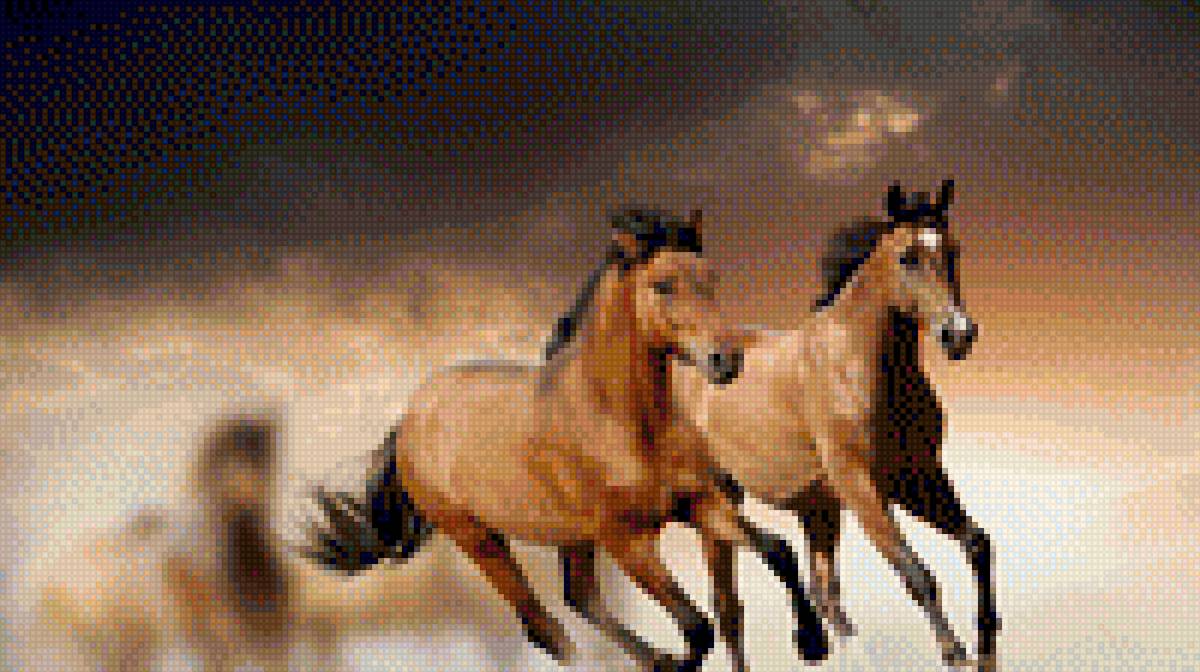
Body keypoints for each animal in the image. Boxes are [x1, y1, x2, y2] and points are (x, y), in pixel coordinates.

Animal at [305, 209, 829, 672]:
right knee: (545, 628)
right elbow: (696, 627)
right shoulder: (627, 541)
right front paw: (679, 661)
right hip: (478, 538)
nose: (726, 360)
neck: (621, 420)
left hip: (569, 534)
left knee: (579, 596)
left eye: (711, 278)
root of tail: (409, 420)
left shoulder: (698, 503)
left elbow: (778, 551)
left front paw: (812, 641)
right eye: (663, 285)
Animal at [675, 181, 999, 670]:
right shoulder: (861, 485)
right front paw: (955, 652)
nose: (959, 334)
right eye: (908, 257)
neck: (857, 367)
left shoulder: (916, 477)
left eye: (953, 250)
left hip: (818, 510)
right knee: (728, 606)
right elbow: (916, 571)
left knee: (824, 592)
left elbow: (977, 543)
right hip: (718, 501)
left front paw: (987, 639)